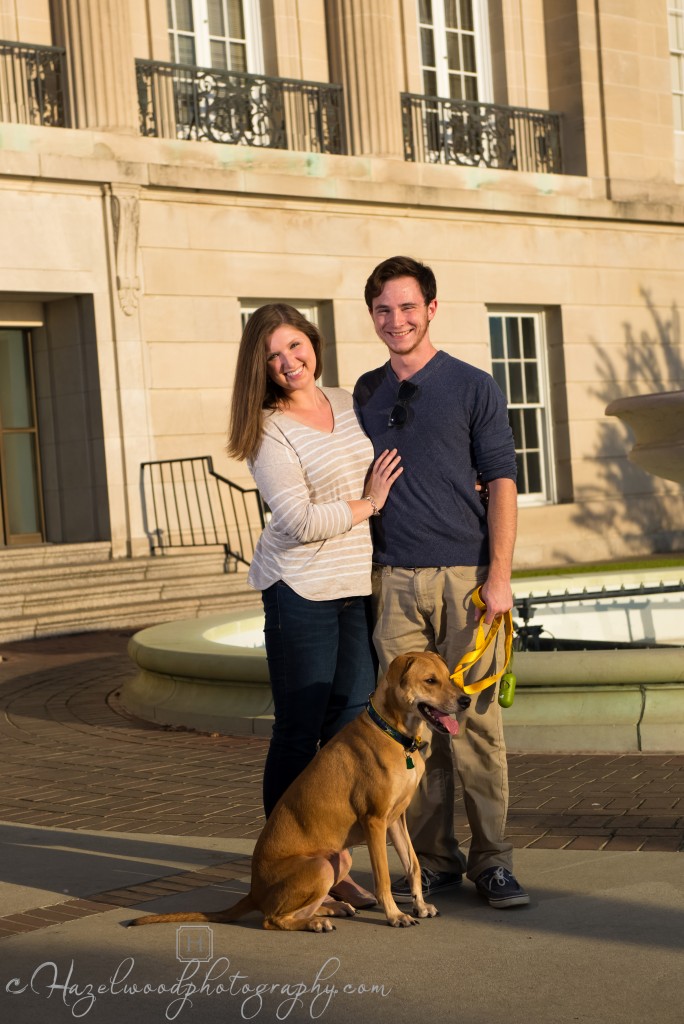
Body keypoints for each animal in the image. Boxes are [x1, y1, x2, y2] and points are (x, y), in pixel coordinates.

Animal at [127, 651, 458, 933]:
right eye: (430, 680)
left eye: (448, 675)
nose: (465, 700)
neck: (394, 733)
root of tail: (254, 892)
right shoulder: (375, 821)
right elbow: (384, 878)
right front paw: (395, 915)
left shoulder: (395, 819)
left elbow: (413, 864)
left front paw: (420, 906)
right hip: (321, 866)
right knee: (272, 919)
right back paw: (317, 921)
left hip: (338, 859)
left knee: (295, 910)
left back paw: (331, 909)